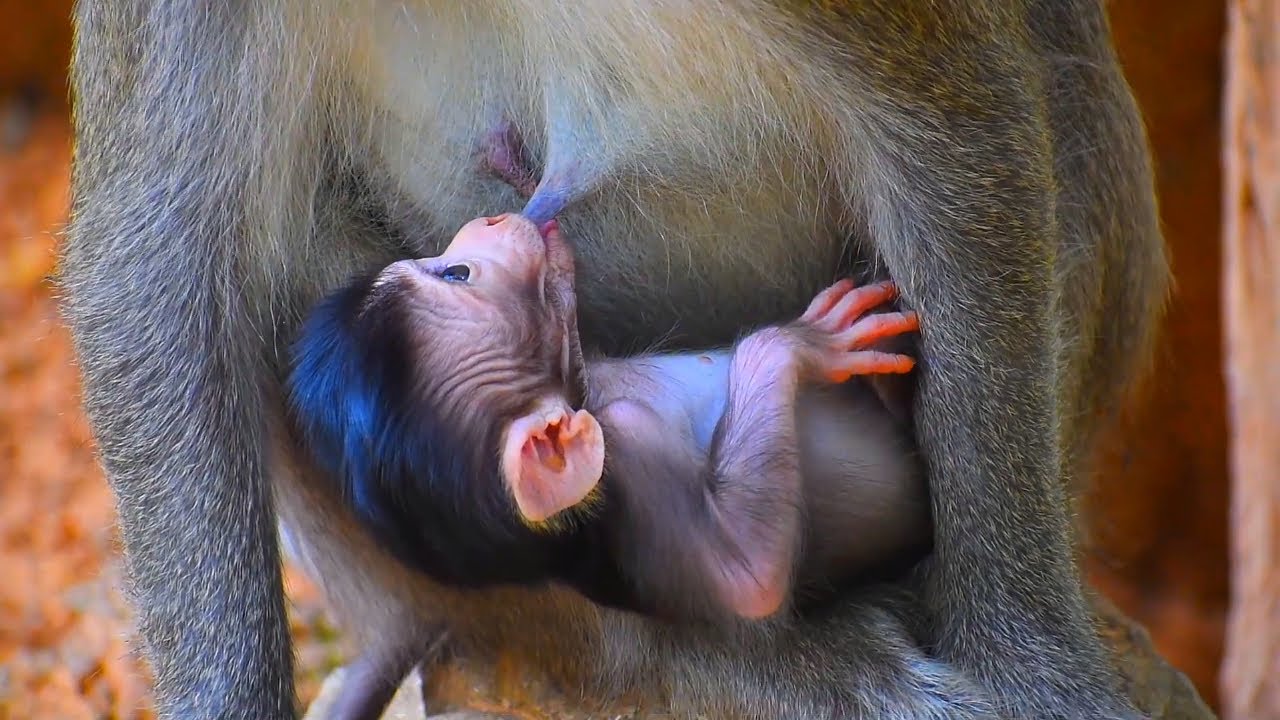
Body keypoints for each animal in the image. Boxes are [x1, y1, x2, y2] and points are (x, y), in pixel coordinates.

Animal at [288, 211, 929, 627]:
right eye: (458, 275)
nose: (492, 217)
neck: (592, 391)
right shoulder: (626, 437)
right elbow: (749, 583)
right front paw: (801, 342)